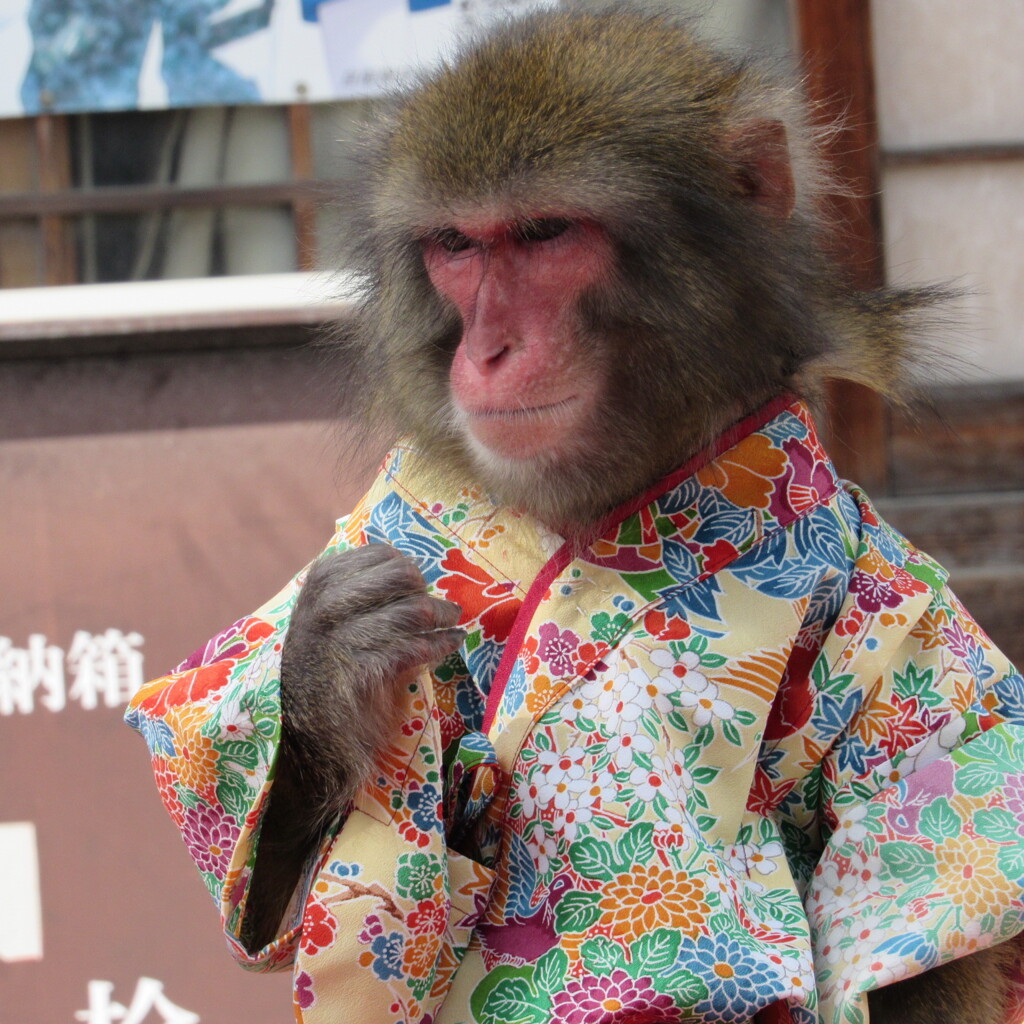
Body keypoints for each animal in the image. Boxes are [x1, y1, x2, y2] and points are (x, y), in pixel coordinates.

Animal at [126, 5, 1024, 1023]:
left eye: (546, 232)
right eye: (457, 247)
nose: (487, 350)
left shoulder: (901, 609)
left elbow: (905, 902)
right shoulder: (386, 516)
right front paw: (329, 661)